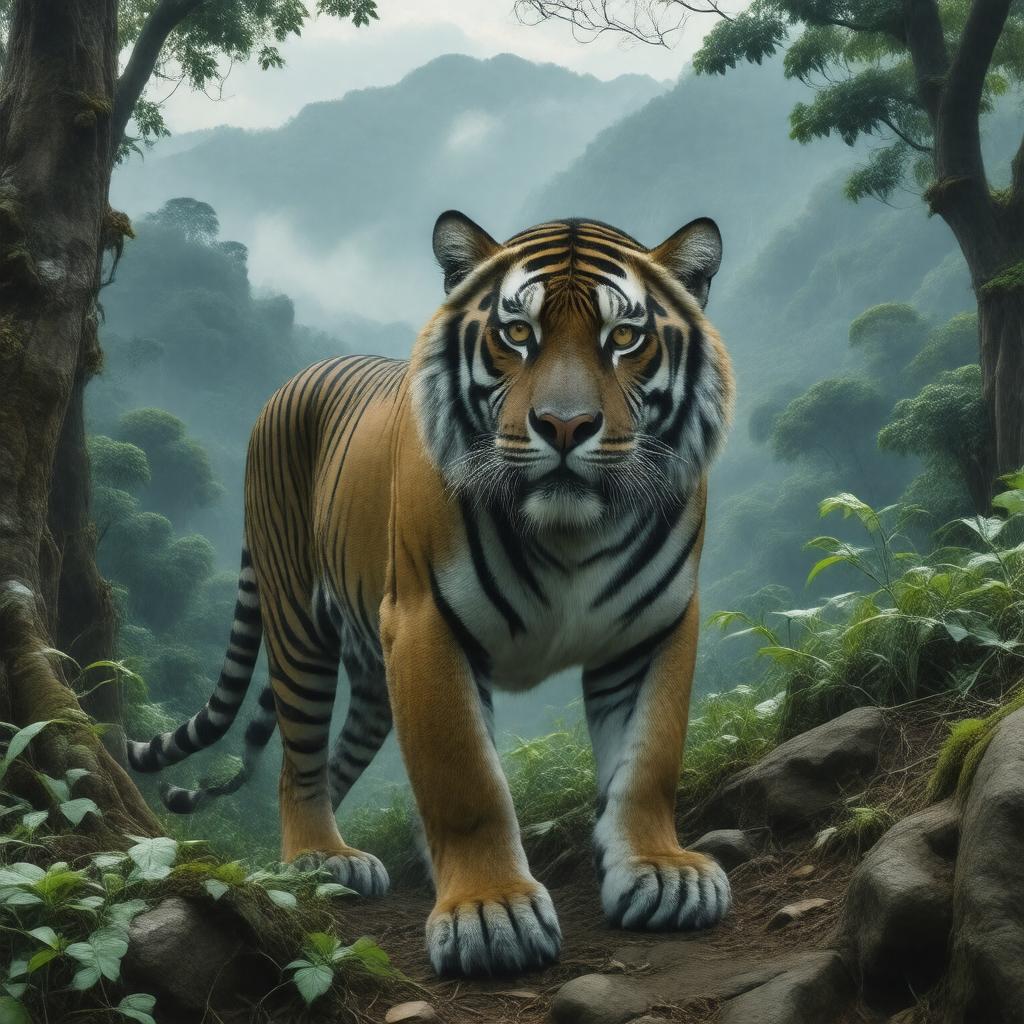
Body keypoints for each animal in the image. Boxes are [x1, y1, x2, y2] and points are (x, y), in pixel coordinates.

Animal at [126, 210, 735, 978]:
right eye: (517, 333)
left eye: (624, 337)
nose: (565, 427)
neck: (569, 535)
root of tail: (290, 383)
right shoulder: (426, 625)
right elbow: (465, 775)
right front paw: (490, 911)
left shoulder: (653, 628)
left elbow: (648, 760)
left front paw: (661, 871)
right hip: (299, 624)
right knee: (297, 760)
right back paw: (320, 859)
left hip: (372, 678)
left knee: (333, 760)